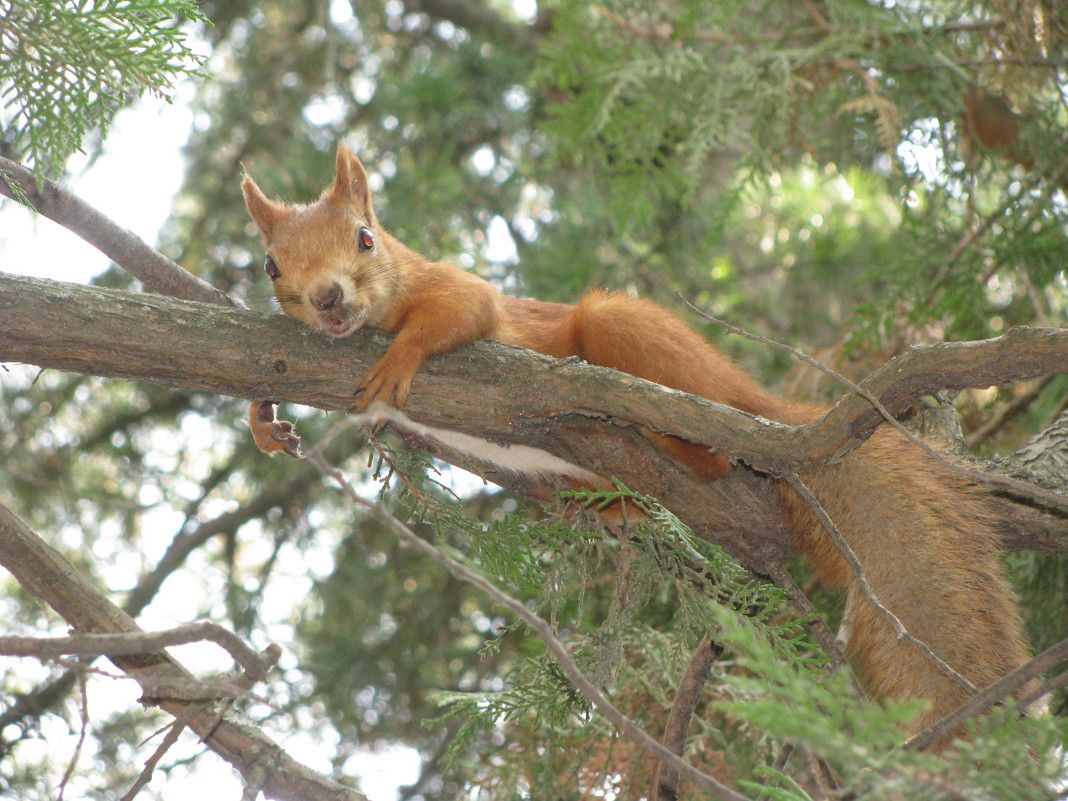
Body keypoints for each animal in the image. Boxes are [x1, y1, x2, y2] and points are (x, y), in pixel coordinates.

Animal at [244, 143, 1033, 747]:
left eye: (365, 238)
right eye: (271, 267)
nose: (328, 300)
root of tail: (759, 406)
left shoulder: (467, 296)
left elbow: (461, 309)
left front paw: (399, 357)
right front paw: (263, 418)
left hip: (625, 333)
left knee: (711, 451)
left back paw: (663, 435)